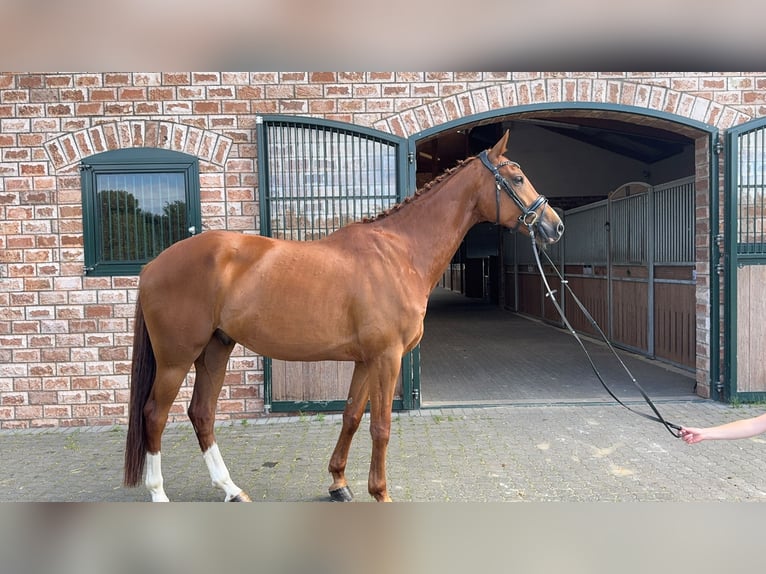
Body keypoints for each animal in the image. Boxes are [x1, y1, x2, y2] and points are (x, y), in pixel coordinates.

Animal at [123, 129, 564, 502]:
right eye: (518, 178)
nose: (554, 226)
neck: (399, 252)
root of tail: (153, 265)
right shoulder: (387, 358)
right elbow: (381, 427)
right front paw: (380, 493)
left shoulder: (366, 360)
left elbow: (352, 416)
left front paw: (339, 482)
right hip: (176, 358)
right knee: (155, 415)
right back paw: (159, 493)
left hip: (216, 348)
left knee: (202, 413)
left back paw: (231, 489)